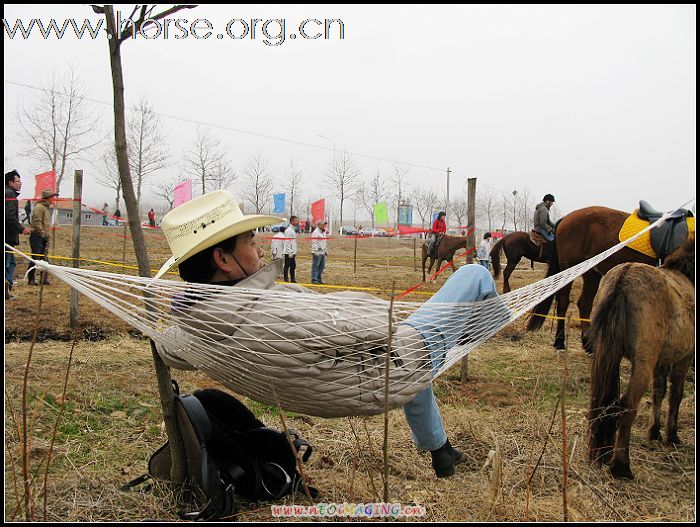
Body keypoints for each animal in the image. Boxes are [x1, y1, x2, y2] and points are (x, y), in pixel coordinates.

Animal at [528, 207, 660, 350]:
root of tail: (566, 218)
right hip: (569, 269)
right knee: (563, 303)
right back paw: (560, 341)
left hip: (591, 273)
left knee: (584, 304)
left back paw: (588, 342)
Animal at [584, 234, 696, 478]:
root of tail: (624, 278)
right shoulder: (683, 359)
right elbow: (676, 395)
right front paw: (672, 436)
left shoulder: (661, 362)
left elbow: (659, 393)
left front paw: (654, 432)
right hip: (642, 363)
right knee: (627, 406)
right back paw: (621, 466)